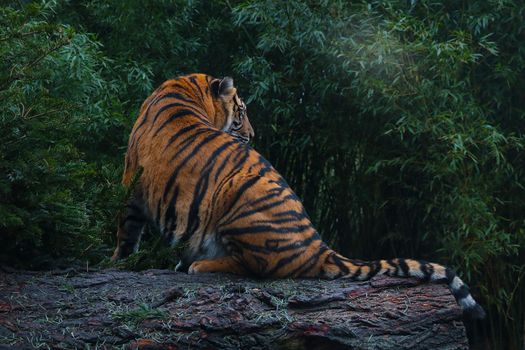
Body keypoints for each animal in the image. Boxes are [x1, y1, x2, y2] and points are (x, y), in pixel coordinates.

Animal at [112, 72, 486, 318]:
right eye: (242, 113)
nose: (252, 135)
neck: (185, 88)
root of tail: (318, 248)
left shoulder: (132, 181)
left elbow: (126, 230)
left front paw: (116, 262)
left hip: (236, 192)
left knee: (254, 268)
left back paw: (198, 264)